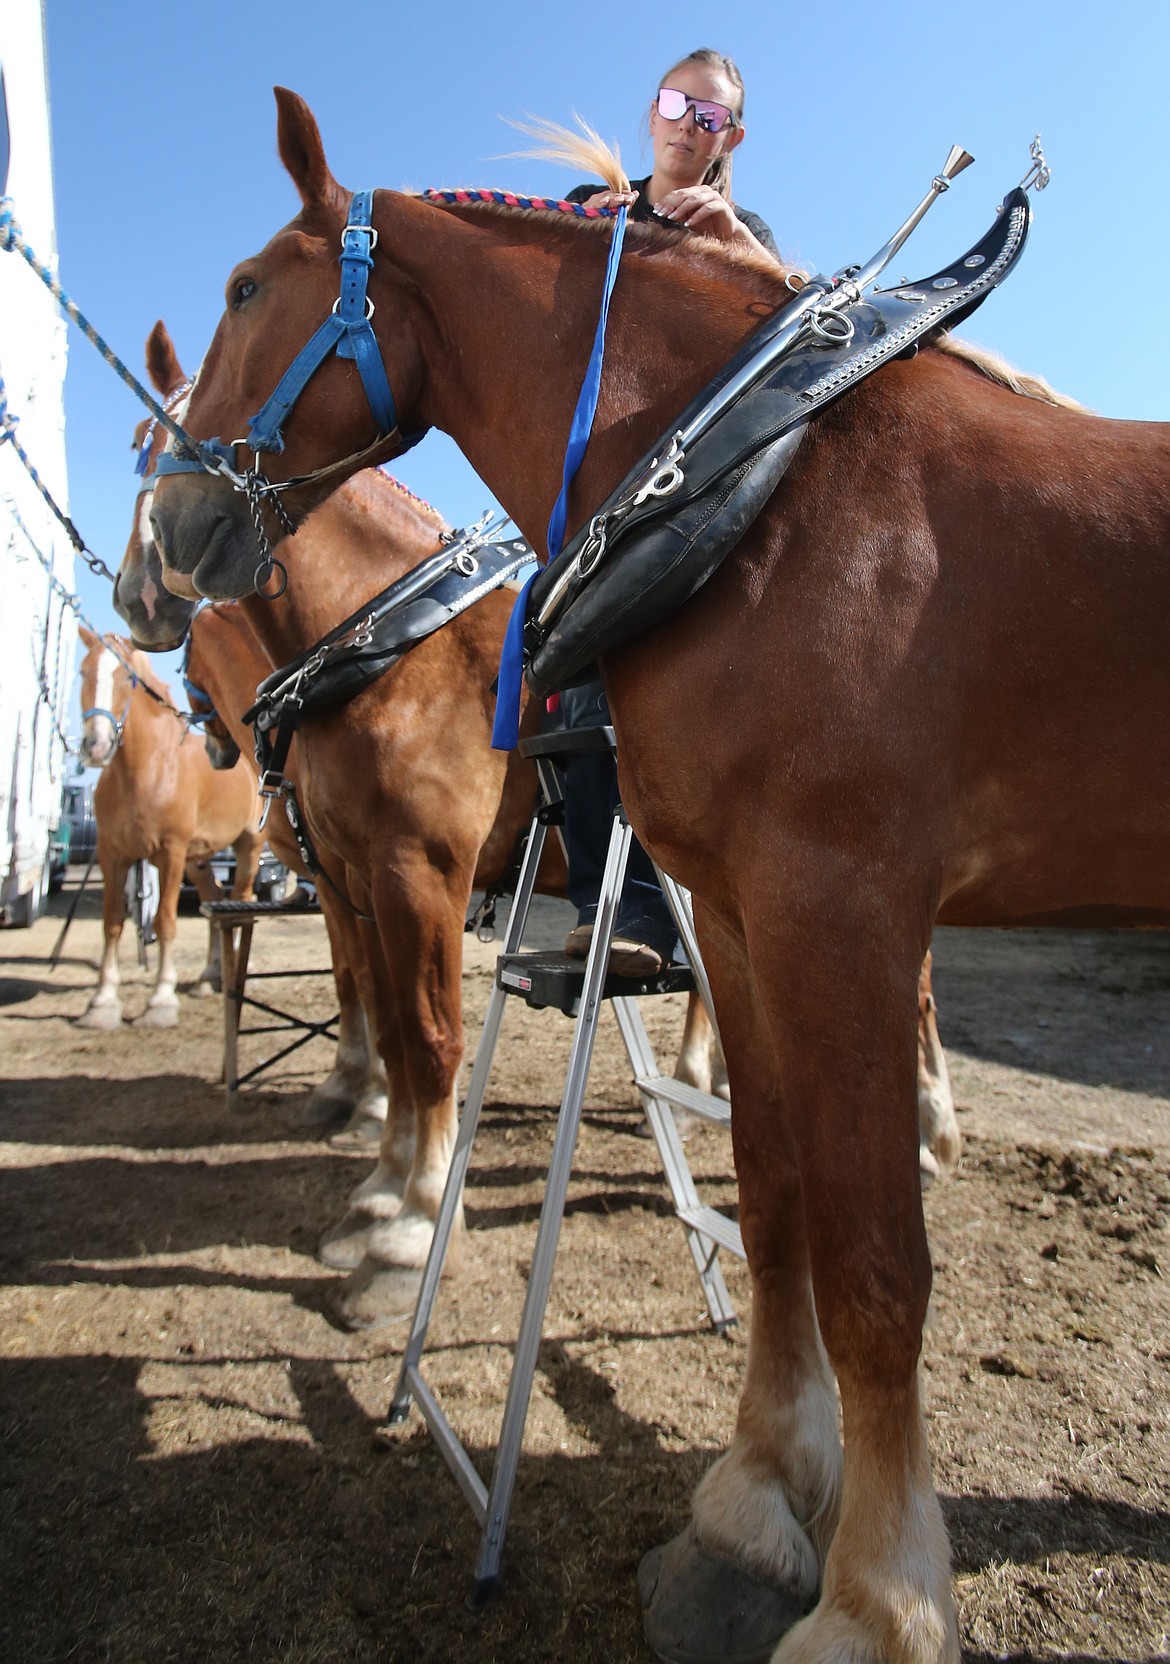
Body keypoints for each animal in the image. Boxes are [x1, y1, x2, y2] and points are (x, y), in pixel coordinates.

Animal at [76, 625, 264, 1025]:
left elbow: (164, 922)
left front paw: (161, 998)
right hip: (198, 860)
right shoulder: (111, 854)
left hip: (248, 846)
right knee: (214, 901)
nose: (96, 746)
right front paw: (102, 1001)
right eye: (83, 672)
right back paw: (210, 976)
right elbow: (111, 922)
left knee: (241, 901)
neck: (145, 769)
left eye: (125, 678)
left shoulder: (170, 854)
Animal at [143, 87, 1170, 1664]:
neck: (760, 484)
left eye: (248, 288)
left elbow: (873, 1262)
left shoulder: (820, 902)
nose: (171, 537)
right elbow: (772, 1200)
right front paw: (757, 1487)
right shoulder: (734, 914)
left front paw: (876, 1593)